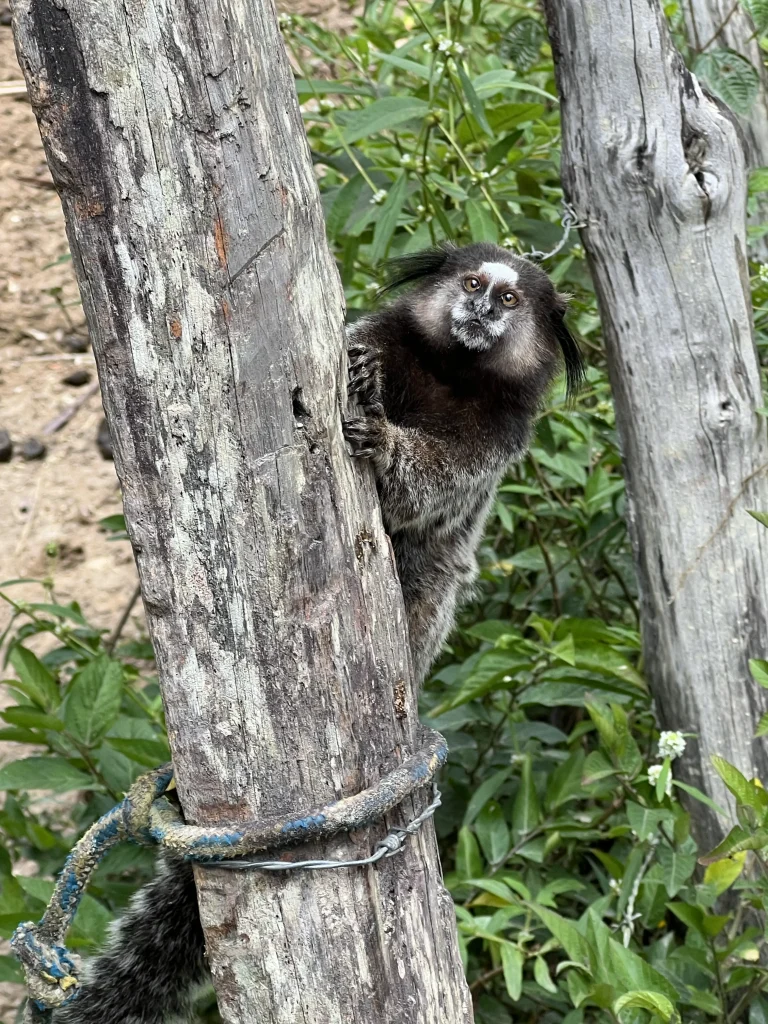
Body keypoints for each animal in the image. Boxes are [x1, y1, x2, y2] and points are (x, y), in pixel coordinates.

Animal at [52, 242, 583, 1024]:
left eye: (511, 302)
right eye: (474, 283)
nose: (481, 309)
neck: (453, 370)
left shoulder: (496, 437)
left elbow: (431, 489)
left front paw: (385, 444)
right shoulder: (385, 336)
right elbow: (364, 354)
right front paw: (365, 377)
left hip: (425, 612)